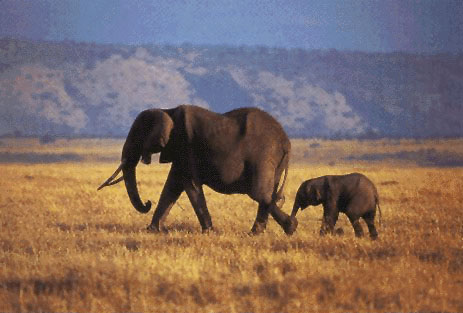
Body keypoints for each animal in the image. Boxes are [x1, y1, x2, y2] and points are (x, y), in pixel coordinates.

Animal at [99, 105, 300, 234]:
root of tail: (286, 141)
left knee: (260, 194)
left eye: (138, 137)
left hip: (263, 156)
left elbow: (189, 184)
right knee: (268, 194)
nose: (147, 203)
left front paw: (208, 232)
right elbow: (172, 186)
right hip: (274, 161)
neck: (167, 111)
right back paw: (257, 233)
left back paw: (290, 227)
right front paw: (152, 231)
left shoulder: (185, 145)